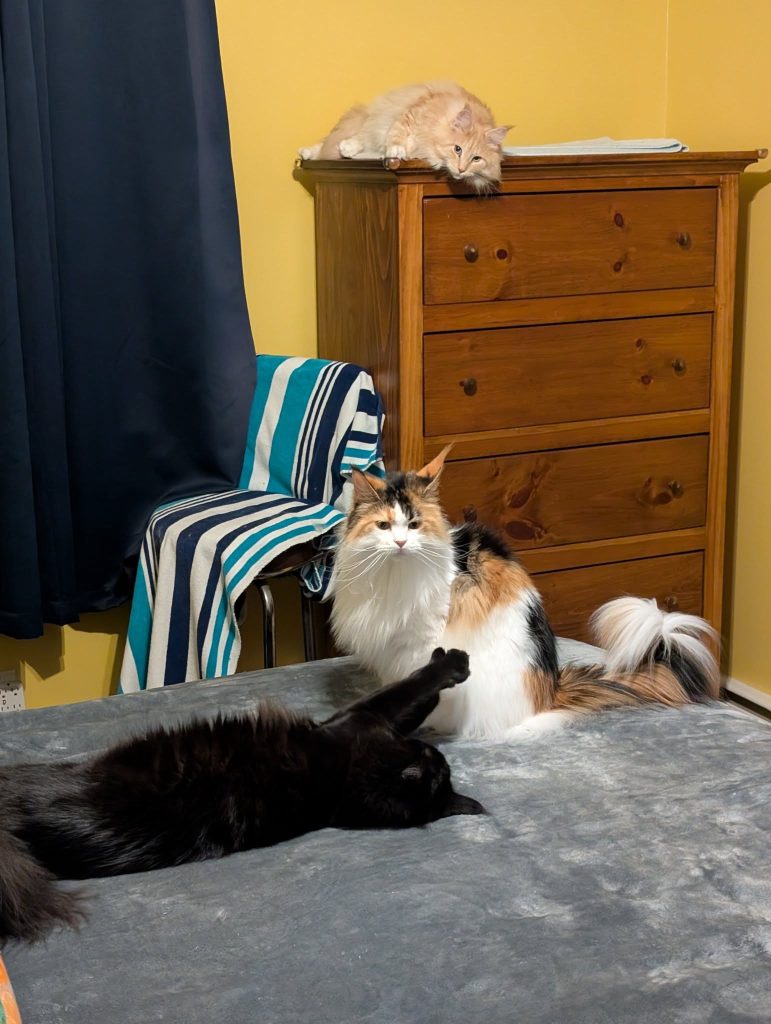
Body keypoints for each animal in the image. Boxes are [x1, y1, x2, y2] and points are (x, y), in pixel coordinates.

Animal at [0, 648, 482, 944]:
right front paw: (450, 661)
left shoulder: (358, 721)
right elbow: (413, 696)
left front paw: (451, 662)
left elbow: (411, 690)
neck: (344, 788)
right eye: (436, 758)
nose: (435, 753)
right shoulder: (362, 722)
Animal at [299, 81, 512, 190]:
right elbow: (396, 134)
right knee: (337, 141)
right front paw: (396, 151)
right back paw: (312, 152)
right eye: (457, 149)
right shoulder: (411, 114)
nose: (461, 169)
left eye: (476, 159)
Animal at [329, 446, 721, 741]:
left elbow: (417, 684)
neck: (392, 574)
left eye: (414, 525)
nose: (400, 543)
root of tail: (550, 692)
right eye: (383, 525)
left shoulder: (421, 640)